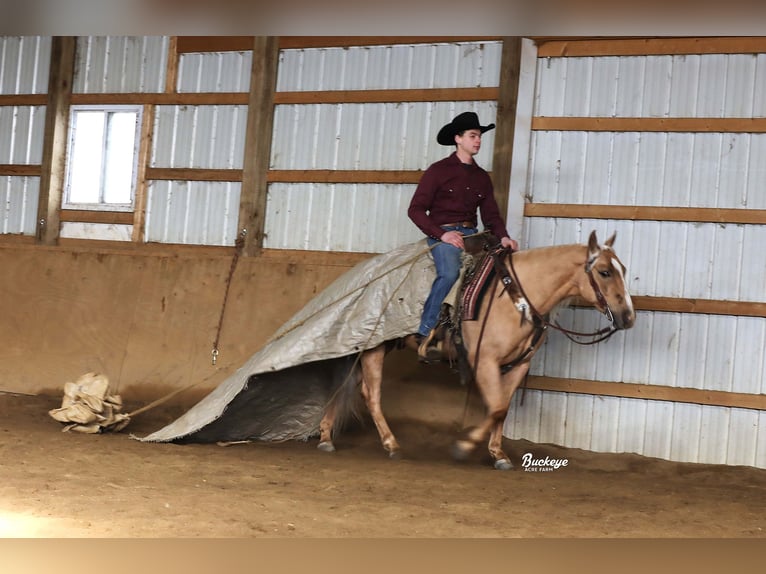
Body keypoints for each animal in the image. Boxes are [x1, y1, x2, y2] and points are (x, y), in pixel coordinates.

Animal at [316, 232, 636, 470]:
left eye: (623, 269)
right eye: (604, 272)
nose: (628, 317)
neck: (514, 297)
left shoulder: (519, 365)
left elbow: (501, 409)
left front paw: (498, 454)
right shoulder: (484, 361)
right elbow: (495, 407)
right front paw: (464, 447)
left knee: (346, 385)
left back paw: (326, 437)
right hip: (373, 349)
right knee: (371, 395)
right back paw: (391, 445)